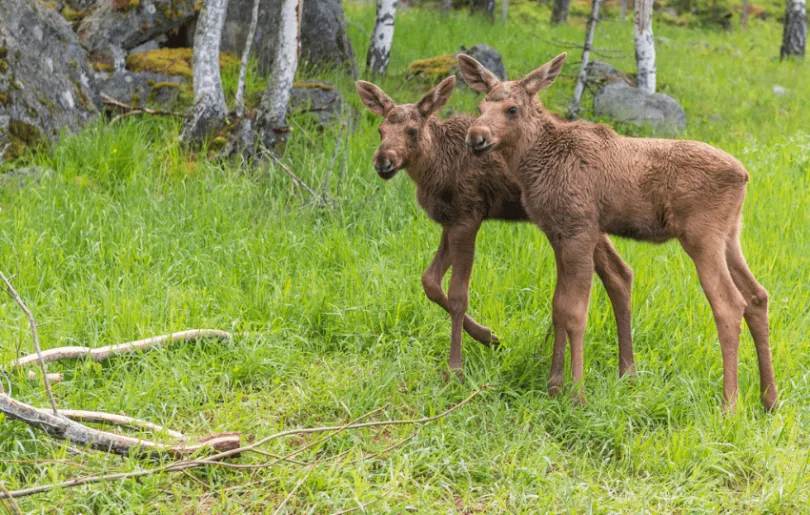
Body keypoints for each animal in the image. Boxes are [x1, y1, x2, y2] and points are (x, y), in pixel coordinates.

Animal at [356, 75, 636, 378]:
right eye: (381, 130)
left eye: (412, 130)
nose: (382, 161)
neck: (433, 168)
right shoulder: (449, 220)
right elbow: (429, 281)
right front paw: (489, 337)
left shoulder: (467, 217)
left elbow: (458, 295)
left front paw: (455, 368)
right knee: (620, 273)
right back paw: (627, 373)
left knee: (617, 272)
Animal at [458, 52, 772, 412]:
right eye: (481, 105)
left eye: (511, 109)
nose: (476, 136)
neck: (535, 166)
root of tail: (744, 175)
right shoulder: (556, 232)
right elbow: (558, 307)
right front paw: (554, 386)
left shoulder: (579, 228)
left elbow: (575, 311)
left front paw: (577, 394)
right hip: (730, 235)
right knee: (757, 295)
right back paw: (769, 399)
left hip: (702, 236)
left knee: (729, 304)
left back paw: (729, 404)